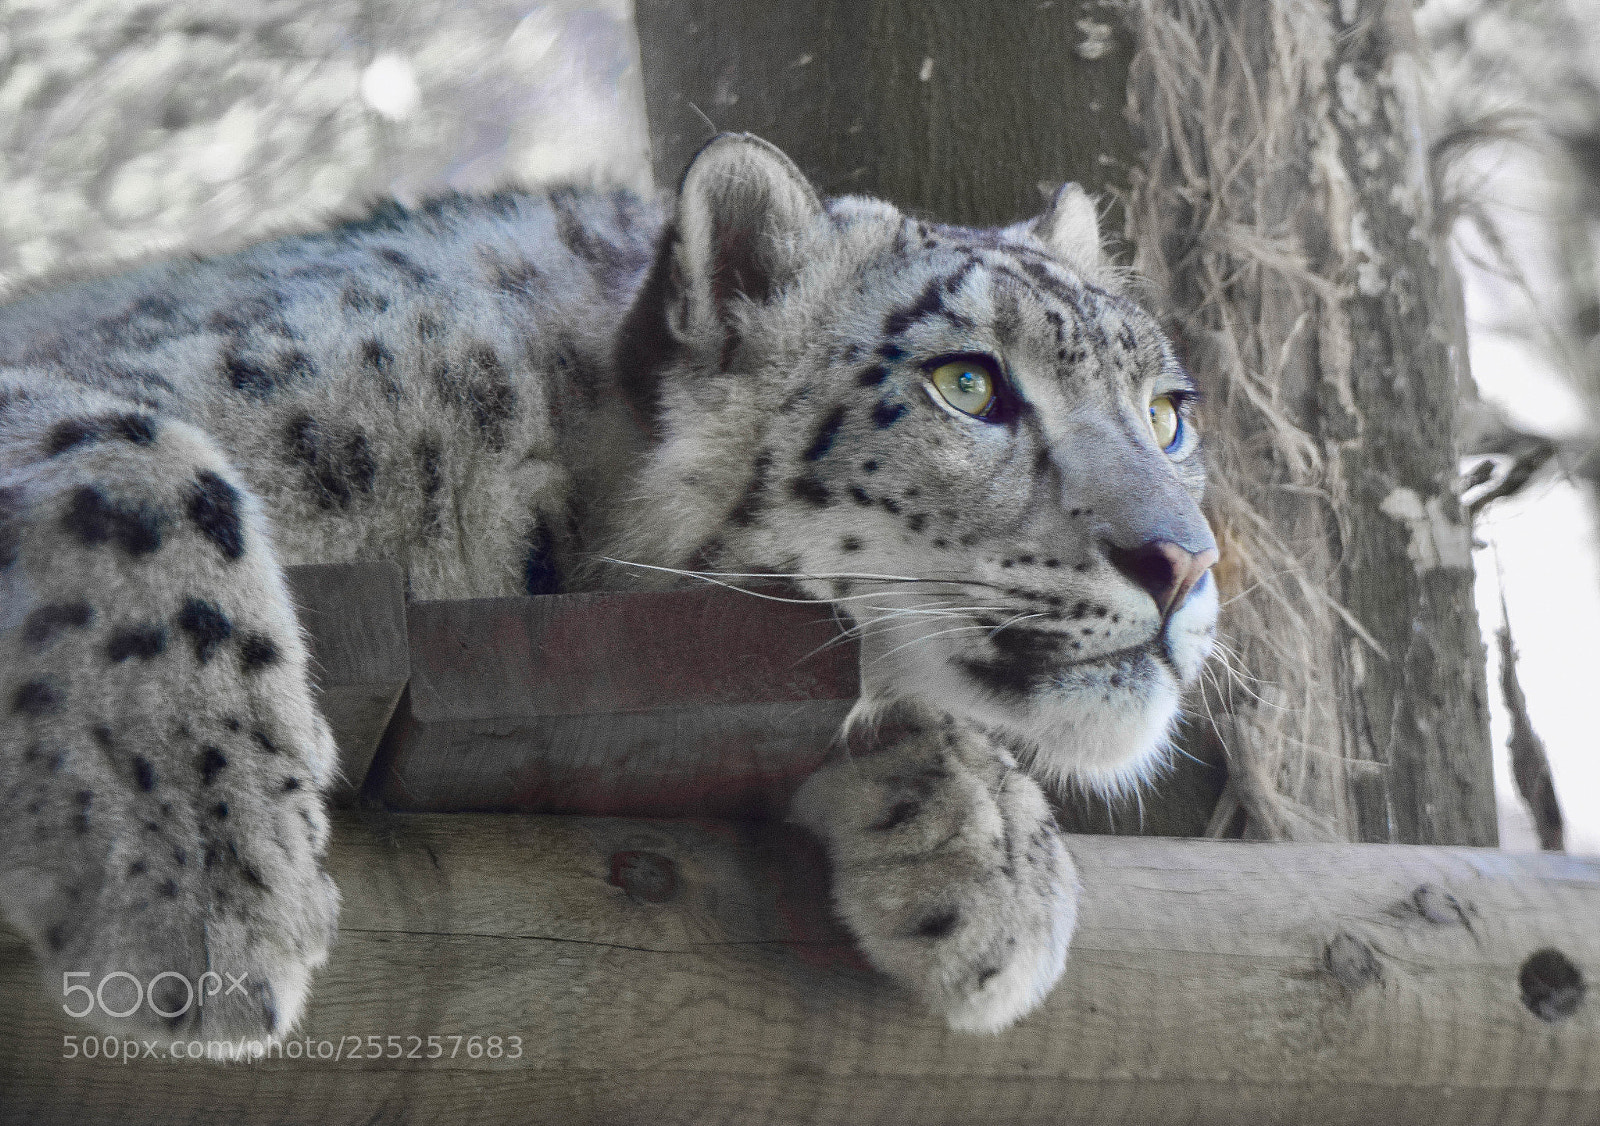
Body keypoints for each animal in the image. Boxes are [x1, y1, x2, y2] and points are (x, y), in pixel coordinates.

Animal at [0, 133, 1218, 1041]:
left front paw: (989, 853)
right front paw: (204, 883)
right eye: (966, 383)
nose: (1186, 562)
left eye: (1168, 412)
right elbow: (139, 463)